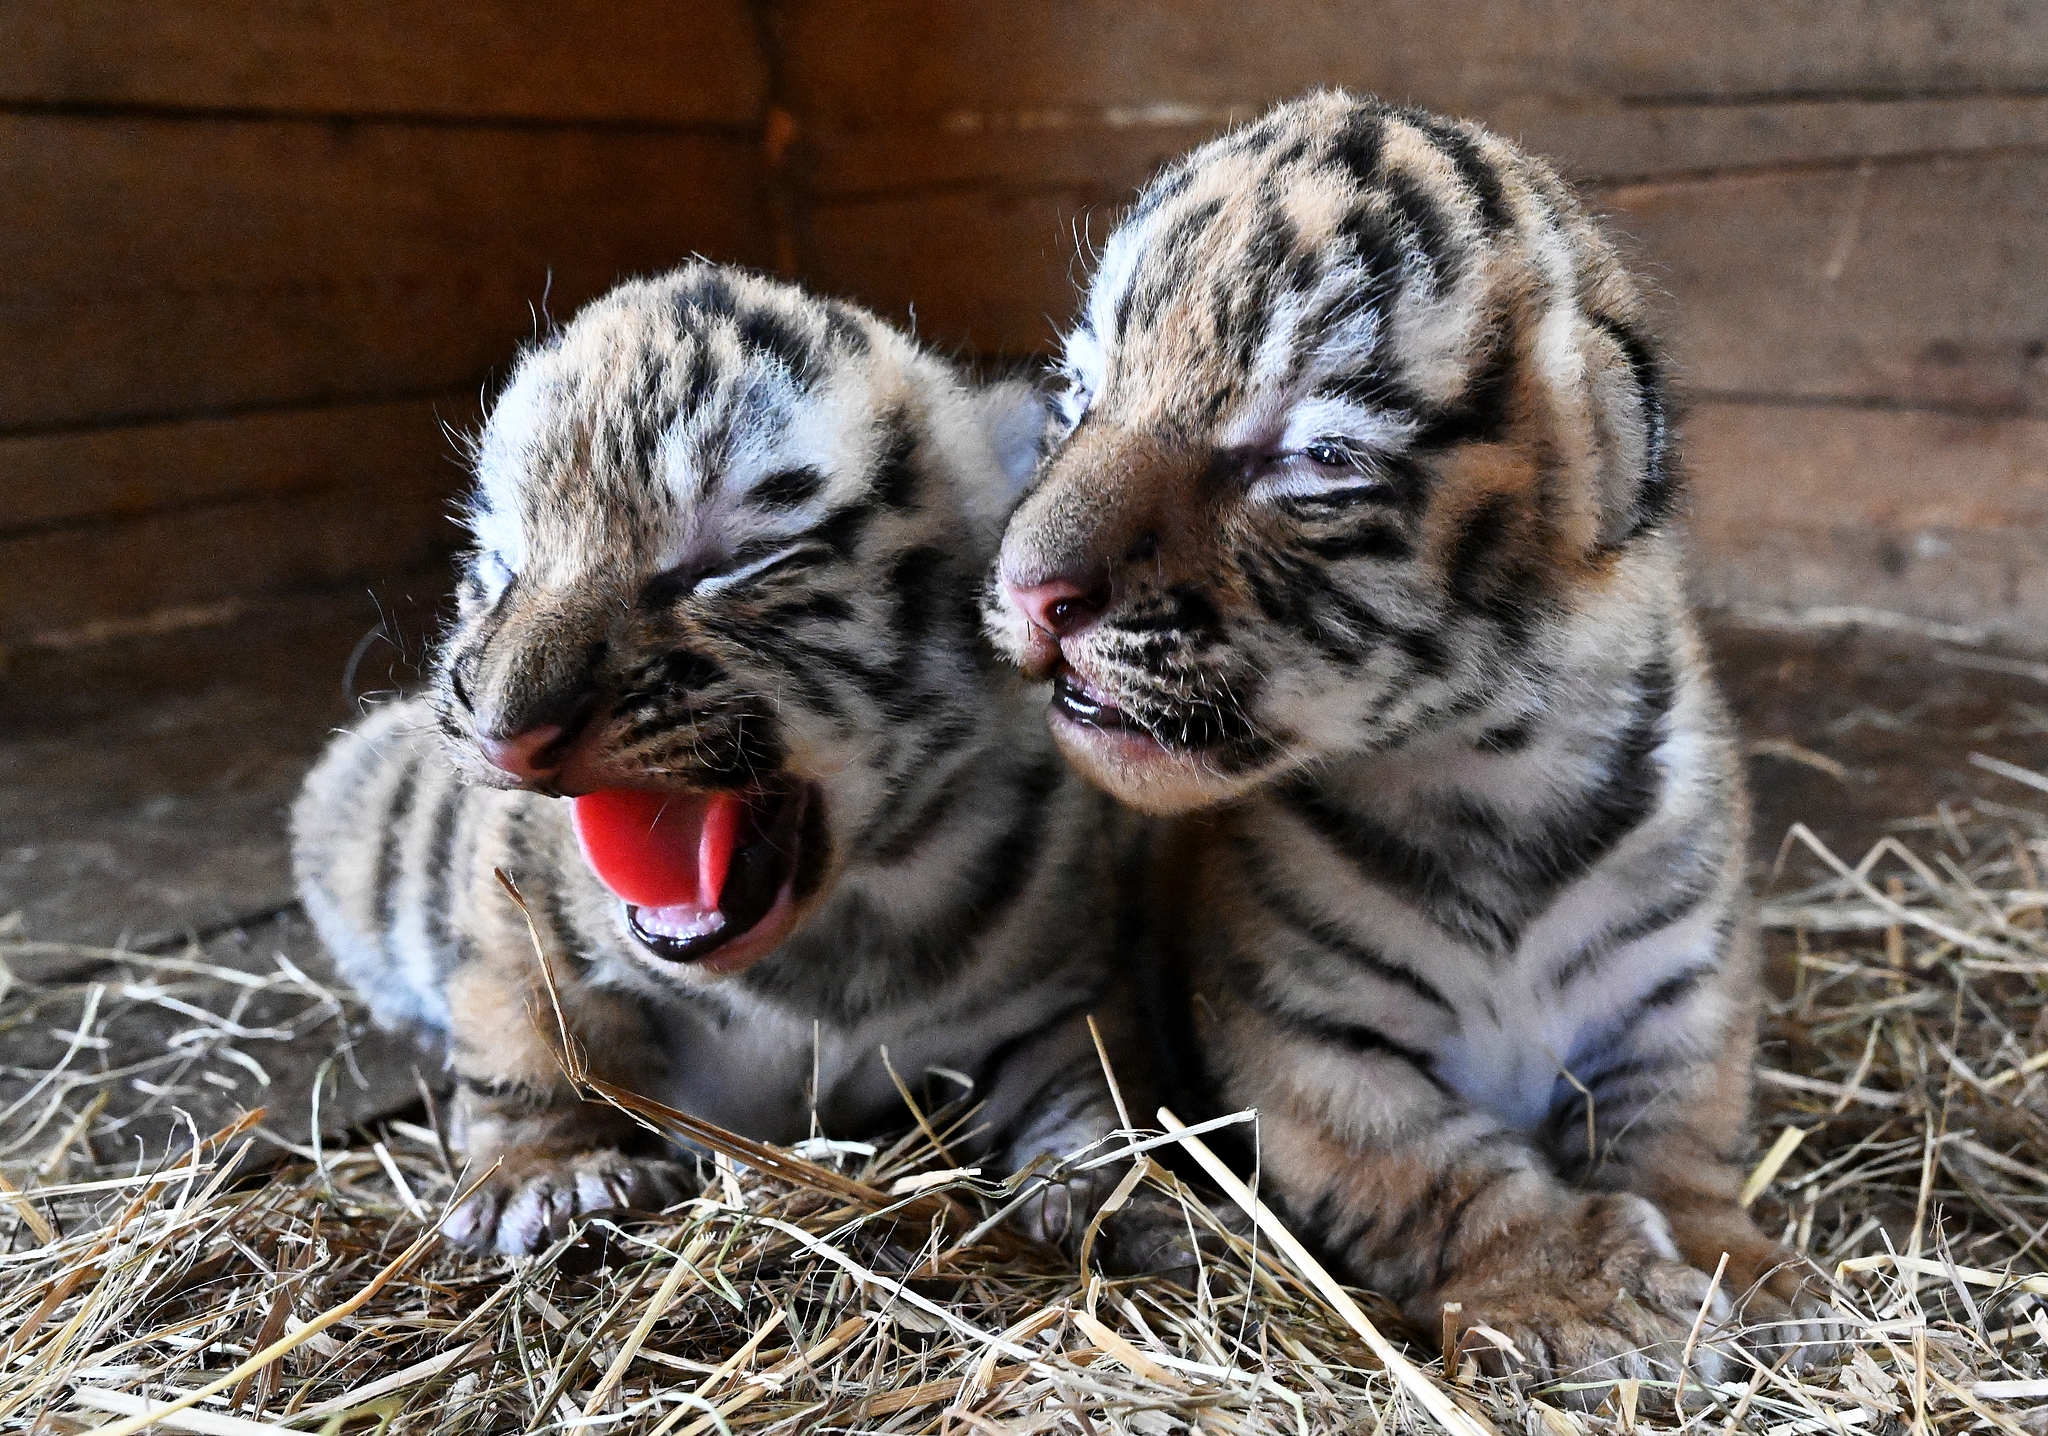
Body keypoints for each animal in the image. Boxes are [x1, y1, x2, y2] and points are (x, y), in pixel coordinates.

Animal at [292, 263, 1166, 1261]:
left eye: (736, 560)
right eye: (503, 564)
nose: (504, 734)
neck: (840, 932)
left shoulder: (1066, 987)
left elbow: (1088, 1080)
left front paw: (1102, 1189)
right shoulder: (512, 908)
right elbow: (525, 1031)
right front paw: (547, 1175)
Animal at [985, 91, 1841, 1390]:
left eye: (1314, 457)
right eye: (1079, 396)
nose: (1027, 592)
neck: (1486, 774)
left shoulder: (1680, 985)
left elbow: (1675, 1132)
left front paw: (1744, 1268)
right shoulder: (1305, 1040)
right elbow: (1444, 1170)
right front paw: (1586, 1298)